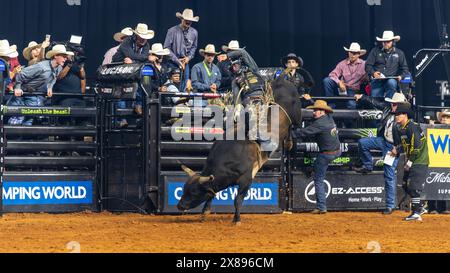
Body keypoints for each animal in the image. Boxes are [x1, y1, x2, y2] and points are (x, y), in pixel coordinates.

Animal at [177, 78, 302, 223]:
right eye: (184, 189)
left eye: (194, 192)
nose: (179, 206)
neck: (227, 161)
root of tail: (283, 81)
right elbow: (211, 194)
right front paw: (205, 212)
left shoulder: (246, 179)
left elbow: (237, 200)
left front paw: (236, 220)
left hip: (297, 116)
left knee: (293, 126)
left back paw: (289, 143)